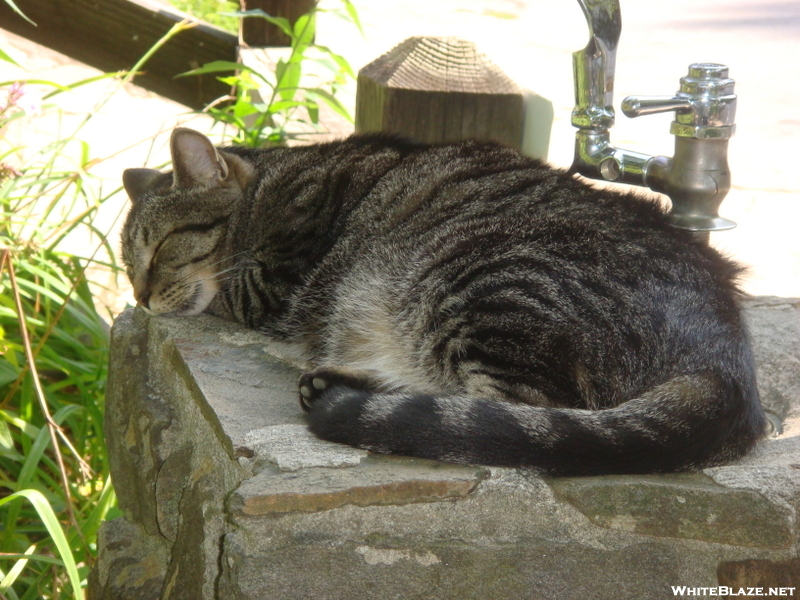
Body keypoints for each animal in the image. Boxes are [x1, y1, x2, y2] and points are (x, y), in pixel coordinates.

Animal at [122, 129, 764, 476]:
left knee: (515, 411)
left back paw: (347, 389)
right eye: (128, 267)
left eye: (160, 249)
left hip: (487, 286)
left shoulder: (272, 280)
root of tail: (726, 354)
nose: (140, 297)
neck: (269, 186)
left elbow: (224, 294)